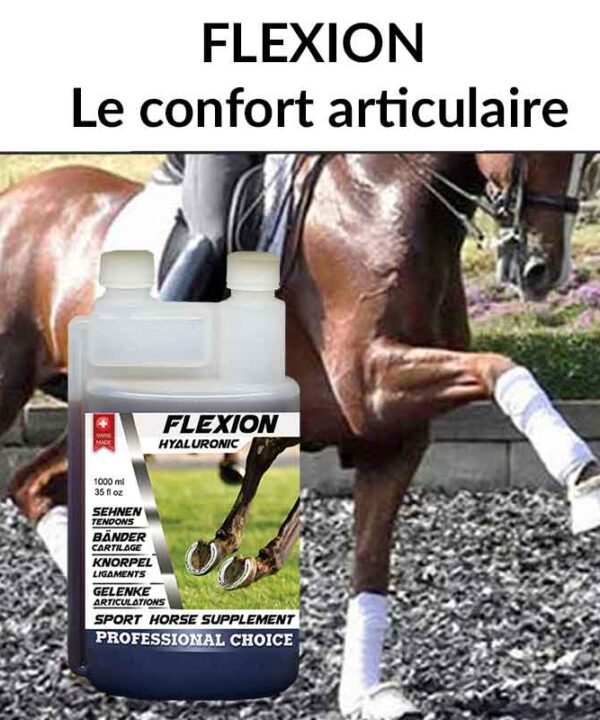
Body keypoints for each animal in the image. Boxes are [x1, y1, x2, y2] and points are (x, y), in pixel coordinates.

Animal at [1, 153, 594, 719]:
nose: (543, 269)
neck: (381, 202)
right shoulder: (373, 382)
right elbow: (501, 366)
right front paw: (581, 478)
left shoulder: (391, 439)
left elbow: (369, 565)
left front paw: (364, 695)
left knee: (31, 485)